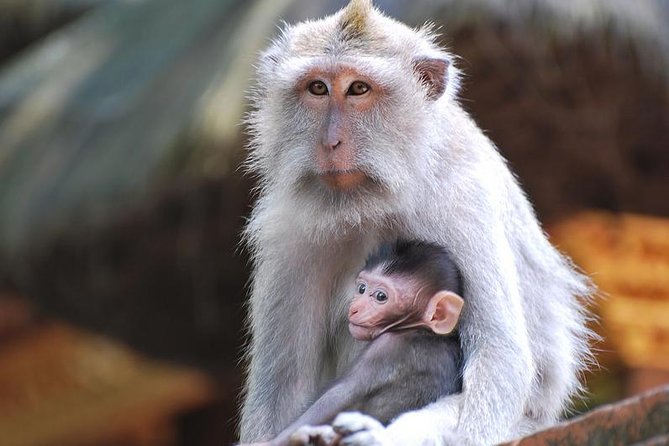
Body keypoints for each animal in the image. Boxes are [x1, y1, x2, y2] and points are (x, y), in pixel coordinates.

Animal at [247, 240, 465, 446]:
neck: (419, 329)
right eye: (361, 289)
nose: (354, 308)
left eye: (380, 296)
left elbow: (338, 396)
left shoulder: (384, 347)